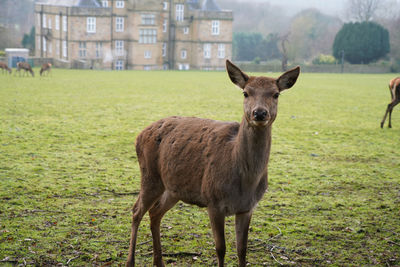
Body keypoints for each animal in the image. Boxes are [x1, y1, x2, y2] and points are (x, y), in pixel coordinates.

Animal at [126, 59, 300, 266]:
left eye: (275, 94)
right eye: (245, 92)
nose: (259, 113)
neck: (245, 181)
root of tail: (138, 135)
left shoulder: (247, 207)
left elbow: (242, 250)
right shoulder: (213, 201)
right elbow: (221, 248)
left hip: (173, 188)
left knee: (155, 212)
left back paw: (159, 262)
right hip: (149, 175)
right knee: (136, 211)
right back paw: (130, 261)